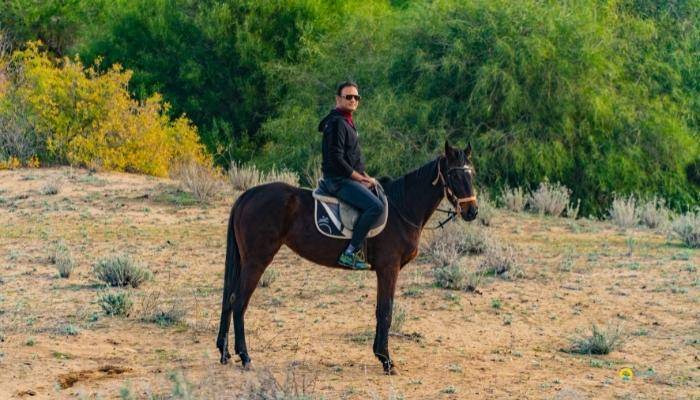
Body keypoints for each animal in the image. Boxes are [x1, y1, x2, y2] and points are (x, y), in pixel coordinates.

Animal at [217, 141, 478, 375]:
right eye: (454, 175)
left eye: (471, 174)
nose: (472, 212)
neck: (402, 208)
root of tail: (248, 195)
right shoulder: (388, 268)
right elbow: (386, 311)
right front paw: (386, 361)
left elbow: (381, 310)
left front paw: (380, 355)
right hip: (257, 260)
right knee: (239, 301)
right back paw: (245, 357)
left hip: (245, 260)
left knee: (229, 300)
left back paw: (225, 352)